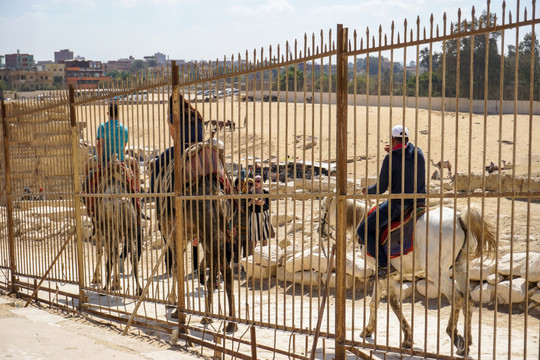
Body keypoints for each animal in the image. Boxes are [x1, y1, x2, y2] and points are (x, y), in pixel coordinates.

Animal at [318, 197, 496, 358]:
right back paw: (466, 343)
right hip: (460, 267)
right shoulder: (380, 274)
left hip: (436, 272)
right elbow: (373, 303)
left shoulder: (384, 274)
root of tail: (459, 218)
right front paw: (368, 330)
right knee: (468, 300)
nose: (321, 230)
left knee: (457, 297)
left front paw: (407, 337)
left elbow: (393, 303)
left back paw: (454, 336)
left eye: (323, 207)